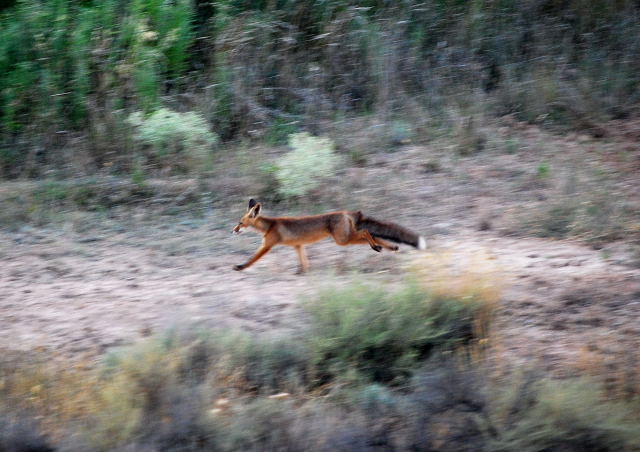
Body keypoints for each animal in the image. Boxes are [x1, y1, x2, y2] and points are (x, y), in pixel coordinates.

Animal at [230, 200, 424, 274]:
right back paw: (387, 247)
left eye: (240, 222)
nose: (233, 230)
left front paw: (240, 267)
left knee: (365, 232)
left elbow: (252, 259)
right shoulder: (298, 246)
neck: (270, 225)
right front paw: (302, 272)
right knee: (376, 237)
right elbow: (304, 261)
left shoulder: (267, 245)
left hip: (343, 240)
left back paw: (376, 247)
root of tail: (346, 212)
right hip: (346, 238)